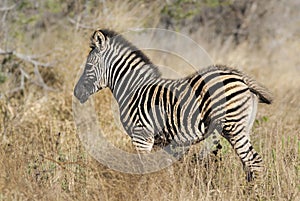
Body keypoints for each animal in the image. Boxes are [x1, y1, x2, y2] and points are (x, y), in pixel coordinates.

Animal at [74, 29, 274, 181]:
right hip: (241, 127)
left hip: (233, 127)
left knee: (253, 162)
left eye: (88, 66)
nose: (76, 93)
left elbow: (143, 169)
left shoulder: (141, 136)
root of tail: (241, 77)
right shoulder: (159, 141)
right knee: (250, 163)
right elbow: (163, 170)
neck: (133, 89)